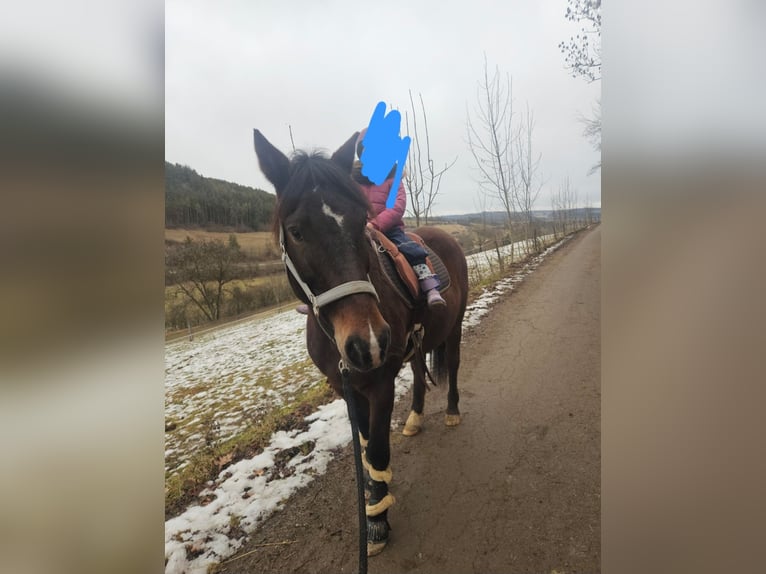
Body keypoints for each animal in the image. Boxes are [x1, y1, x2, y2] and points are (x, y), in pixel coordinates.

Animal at [253, 129, 468, 556]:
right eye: (297, 231)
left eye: (360, 224)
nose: (367, 341)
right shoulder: (345, 387)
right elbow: (368, 446)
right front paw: (375, 494)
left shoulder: (380, 382)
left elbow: (378, 448)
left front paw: (377, 521)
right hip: (415, 343)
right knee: (418, 374)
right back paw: (415, 418)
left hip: (454, 328)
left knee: (451, 366)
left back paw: (451, 411)